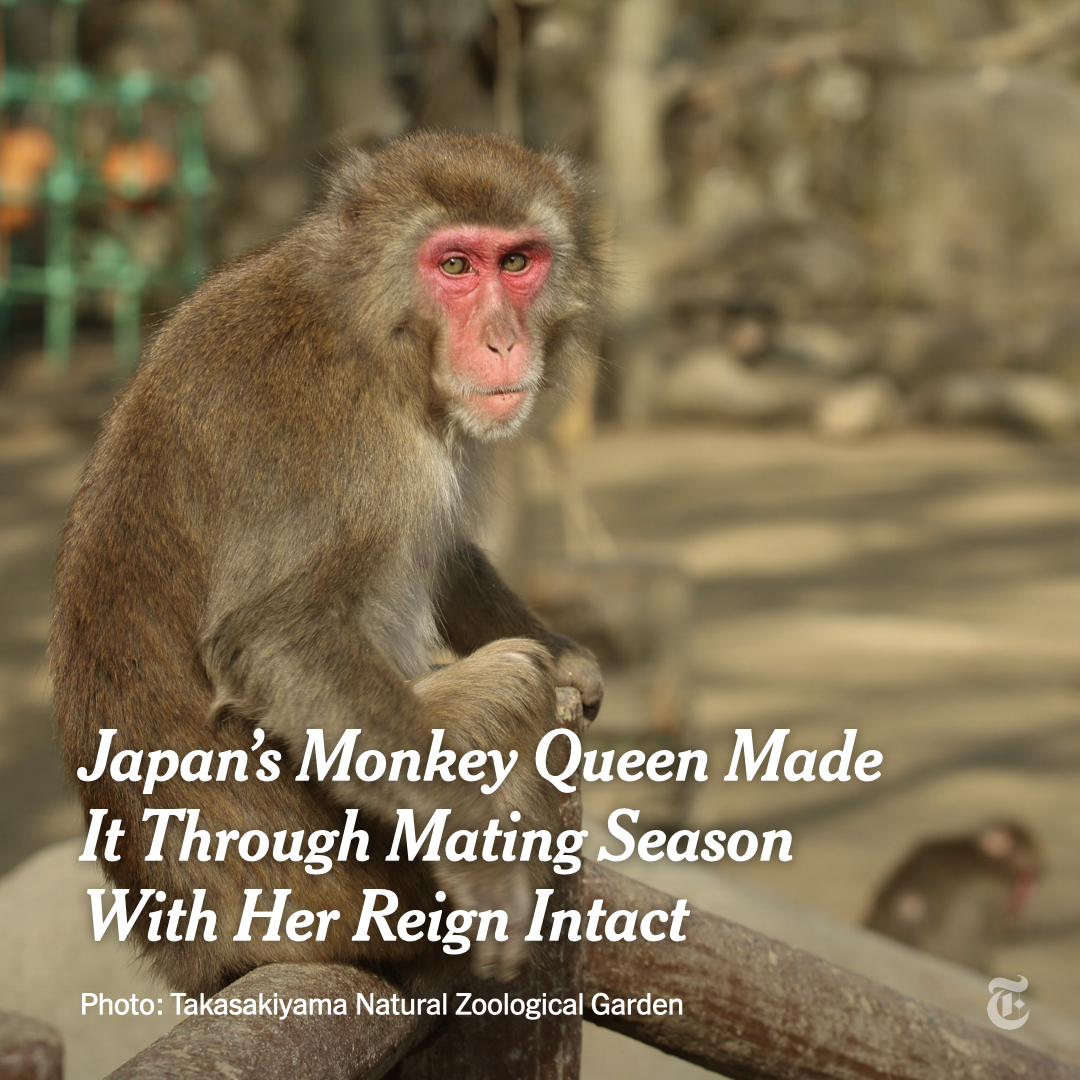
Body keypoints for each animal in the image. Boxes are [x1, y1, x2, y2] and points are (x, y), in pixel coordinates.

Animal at [49, 132, 608, 995]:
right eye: (455, 266)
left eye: (517, 261)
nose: (502, 341)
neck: (374, 333)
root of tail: (194, 949)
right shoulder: (311, 414)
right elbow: (279, 634)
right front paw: (480, 857)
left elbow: (441, 553)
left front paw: (568, 653)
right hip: (340, 891)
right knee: (509, 683)